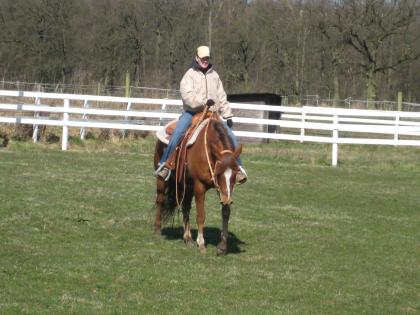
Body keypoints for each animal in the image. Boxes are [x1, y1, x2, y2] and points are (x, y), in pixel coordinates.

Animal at [153, 112, 243, 256]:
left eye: (235, 173)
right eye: (219, 173)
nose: (227, 200)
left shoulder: (222, 190)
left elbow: (225, 213)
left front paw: (222, 246)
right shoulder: (199, 186)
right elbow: (201, 215)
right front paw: (201, 244)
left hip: (186, 185)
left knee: (185, 207)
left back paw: (188, 238)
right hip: (162, 180)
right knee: (160, 200)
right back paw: (157, 229)